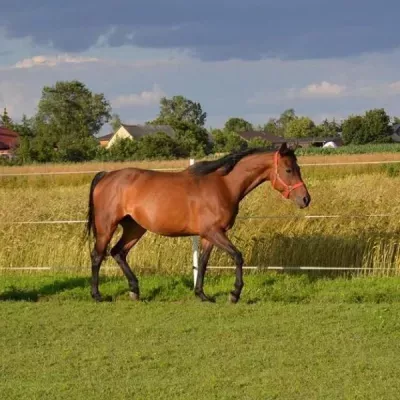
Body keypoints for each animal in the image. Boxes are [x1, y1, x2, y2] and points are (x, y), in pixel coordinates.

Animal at [86, 142, 310, 302]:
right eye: (289, 170)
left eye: (298, 168)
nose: (306, 199)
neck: (223, 185)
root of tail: (106, 176)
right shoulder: (214, 232)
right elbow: (237, 257)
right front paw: (234, 294)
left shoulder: (208, 235)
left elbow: (202, 262)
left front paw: (202, 295)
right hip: (107, 226)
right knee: (98, 255)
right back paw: (97, 295)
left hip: (135, 228)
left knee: (118, 252)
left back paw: (134, 290)